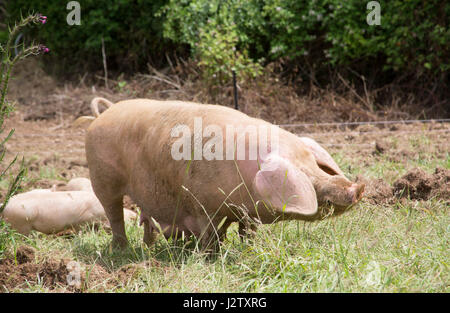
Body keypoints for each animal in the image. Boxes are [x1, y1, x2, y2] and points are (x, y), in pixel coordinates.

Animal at [84, 97, 366, 249]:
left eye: (312, 163)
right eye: (303, 173)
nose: (357, 188)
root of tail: (106, 112)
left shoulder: (247, 211)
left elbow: (246, 231)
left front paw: (248, 247)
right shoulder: (201, 204)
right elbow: (209, 232)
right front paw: (211, 254)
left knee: (146, 218)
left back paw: (148, 245)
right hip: (102, 179)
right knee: (114, 215)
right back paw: (121, 249)